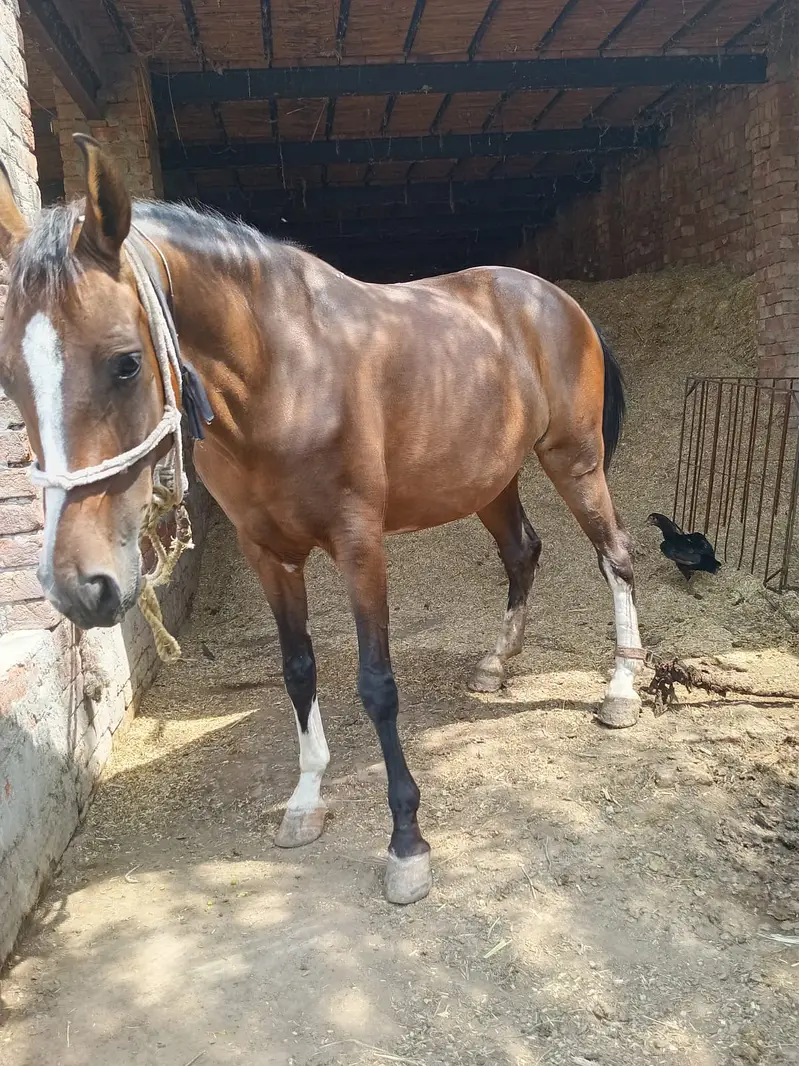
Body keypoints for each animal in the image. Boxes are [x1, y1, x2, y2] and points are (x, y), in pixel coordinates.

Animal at [0, 136, 644, 905]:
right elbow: (298, 670)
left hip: (574, 461)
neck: (286, 374)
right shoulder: (267, 552)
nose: (76, 586)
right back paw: (495, 663)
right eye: (9, 375)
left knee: (615, 554)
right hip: (489, 480)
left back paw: (621, 689)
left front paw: (406, 844)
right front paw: (305, 802)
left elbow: (376, 683)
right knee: (523, 551)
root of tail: (555, 300)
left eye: (126, 363)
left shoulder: (358, 544)